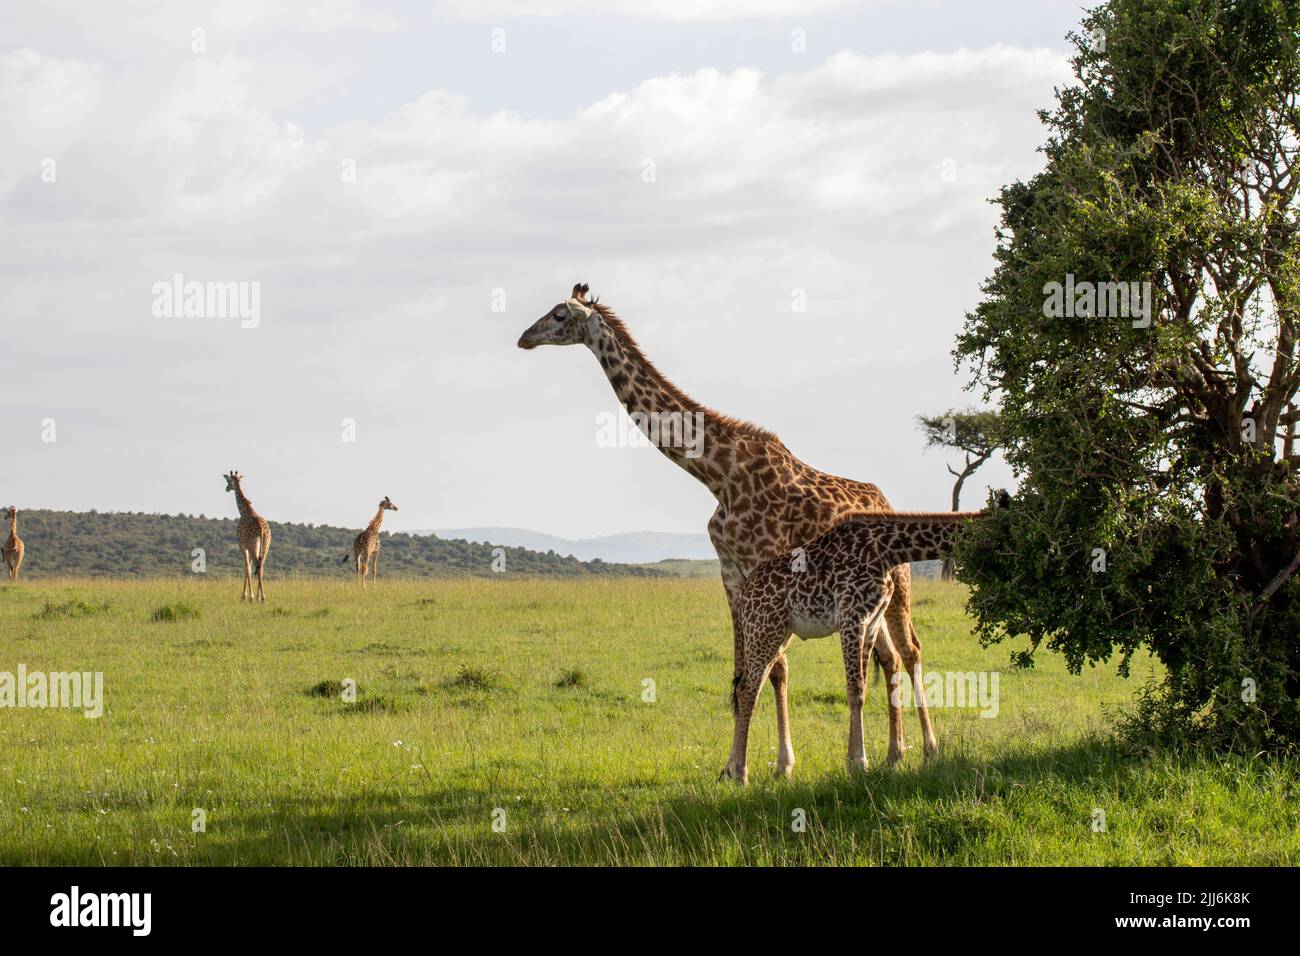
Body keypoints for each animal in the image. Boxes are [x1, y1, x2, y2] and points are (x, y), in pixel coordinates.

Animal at [522, 283, 941, 780]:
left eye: (559, 314)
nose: (524, 338)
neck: (717, 473)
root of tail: (885, 501)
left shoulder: (766, 563)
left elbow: (773, 669)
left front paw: (780, 763)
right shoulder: (732, 573)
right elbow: (745, 673)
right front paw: (734, 767)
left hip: (900, 586)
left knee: (911, 652)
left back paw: (929, 747)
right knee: (890, 658)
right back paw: (895, 752)